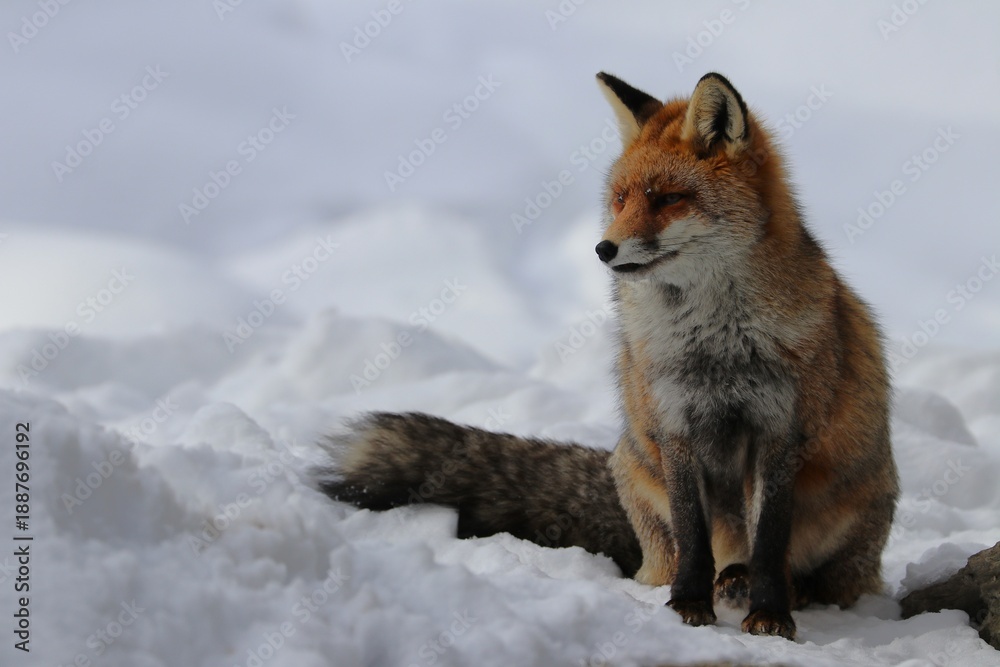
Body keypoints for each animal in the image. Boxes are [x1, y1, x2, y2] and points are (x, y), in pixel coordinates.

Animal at [316, 72, 899, 640]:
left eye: (668, 199)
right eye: (620, 199)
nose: (603, 249)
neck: (714, 344)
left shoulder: (779, 432)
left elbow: (771, 541)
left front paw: (772, 615)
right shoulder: (675, 425)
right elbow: (692, 535)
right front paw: (687, 605)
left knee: (816, 574)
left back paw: (771, 586)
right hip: (638, 469)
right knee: (670, 560)